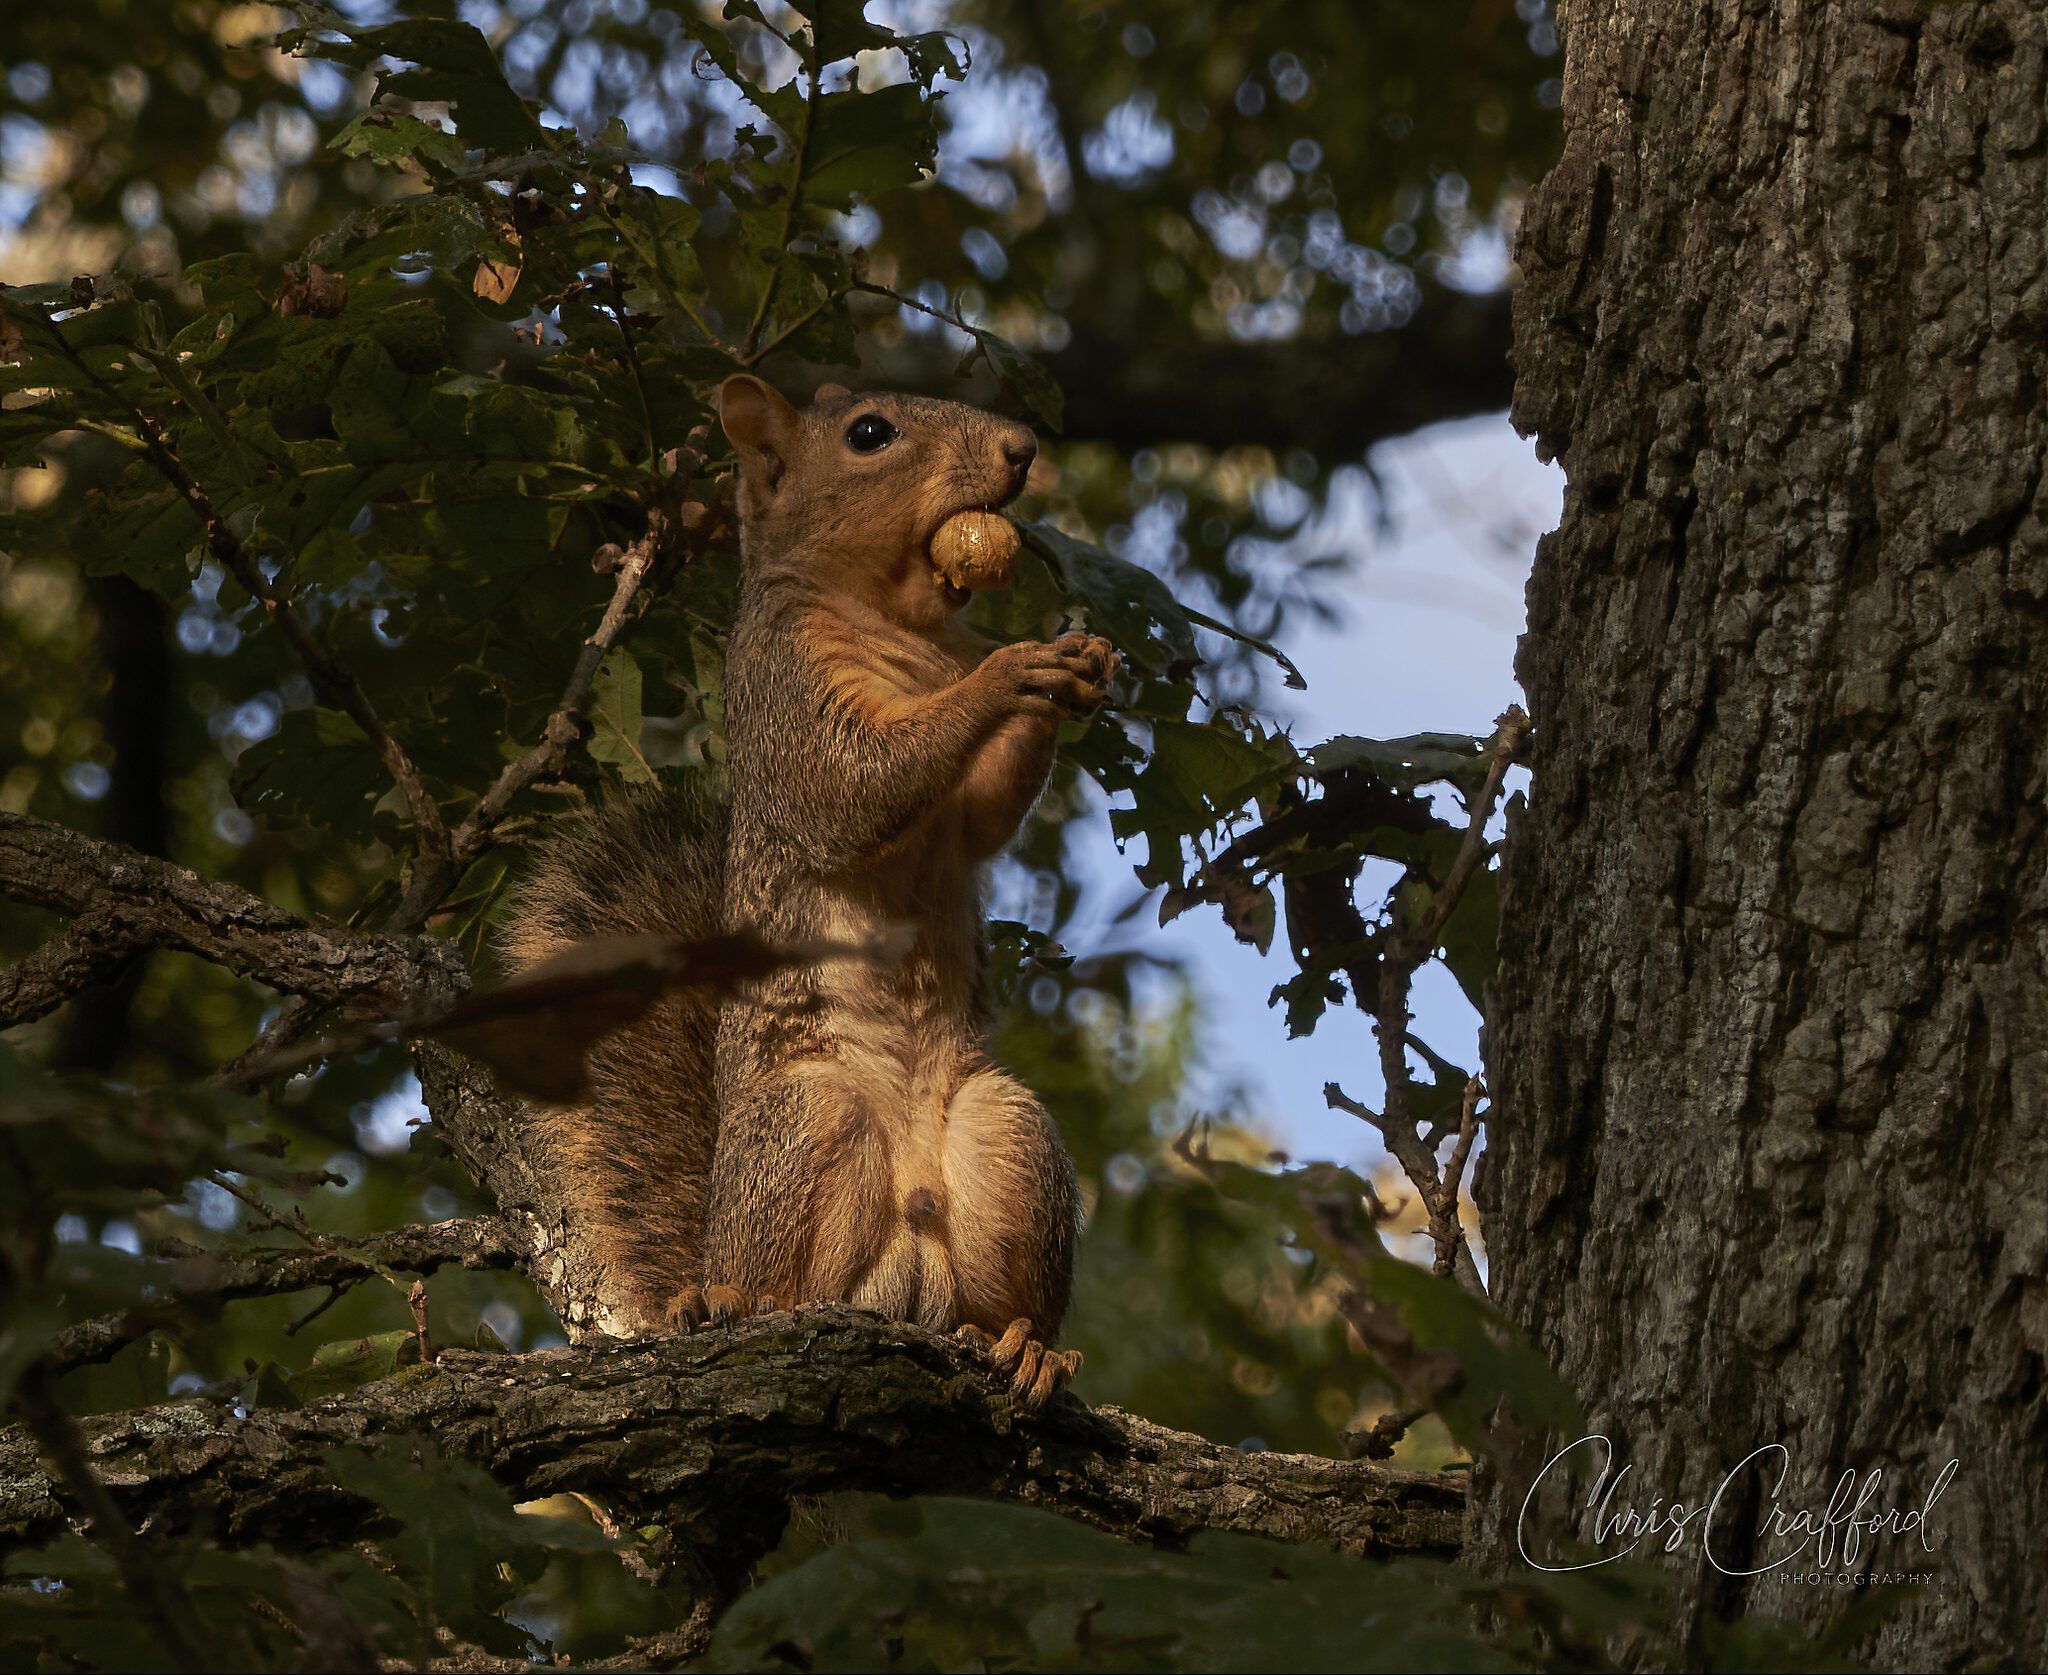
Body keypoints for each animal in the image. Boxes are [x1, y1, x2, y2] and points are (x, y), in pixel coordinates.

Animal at [507, 372, 1122, 1400]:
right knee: (783, 1282)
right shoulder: (784, 691)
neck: (903, 626)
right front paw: (1014, 671)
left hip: (1007, 1135)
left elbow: (982, 813)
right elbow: (853, 786)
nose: (1021, 448)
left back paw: (1029, 1347)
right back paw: (735, 1304)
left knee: (1004, 1296)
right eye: (869, 434)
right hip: (806, 1119)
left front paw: (1069, 664)